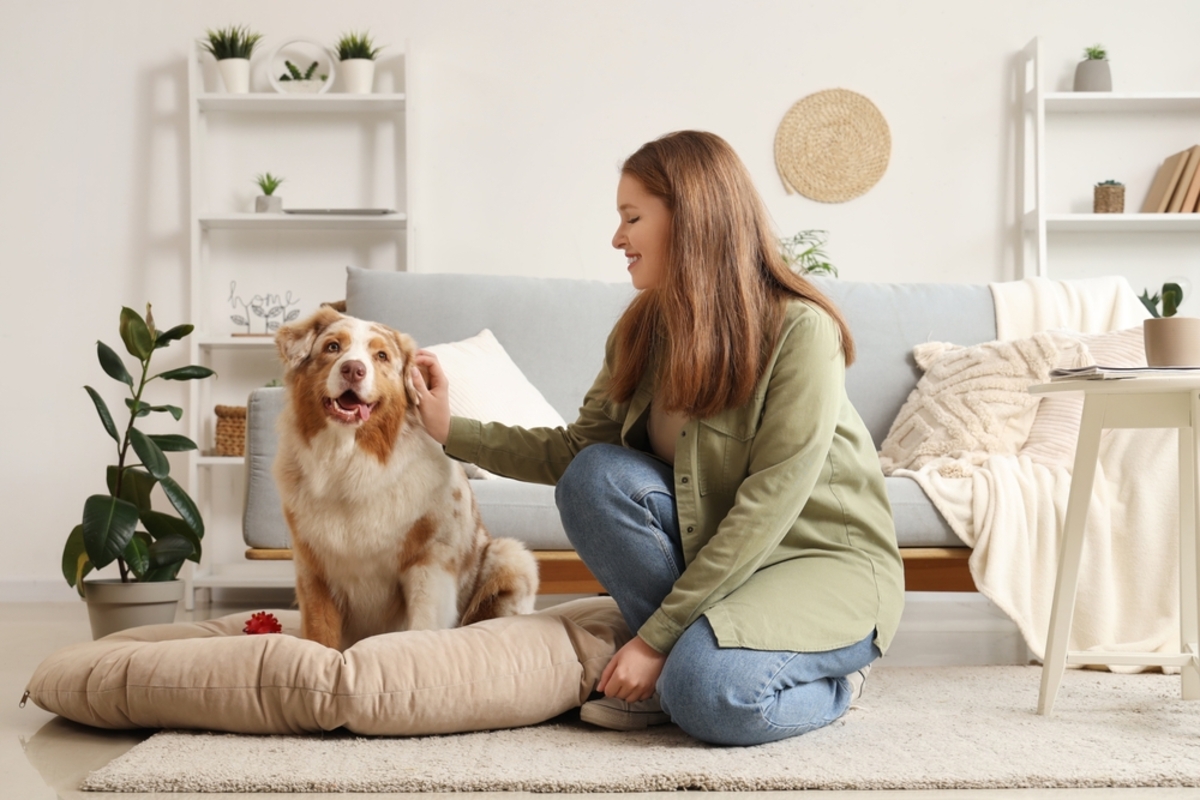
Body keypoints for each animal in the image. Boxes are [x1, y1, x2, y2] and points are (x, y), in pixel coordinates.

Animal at [276, 307, 540, 652]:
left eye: (382, 356)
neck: (349, 463)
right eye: (333, 347)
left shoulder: (430, 562)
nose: (353, 369)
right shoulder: (313, 569)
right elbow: (322, 640)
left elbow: (422, 629)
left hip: (511, 556)